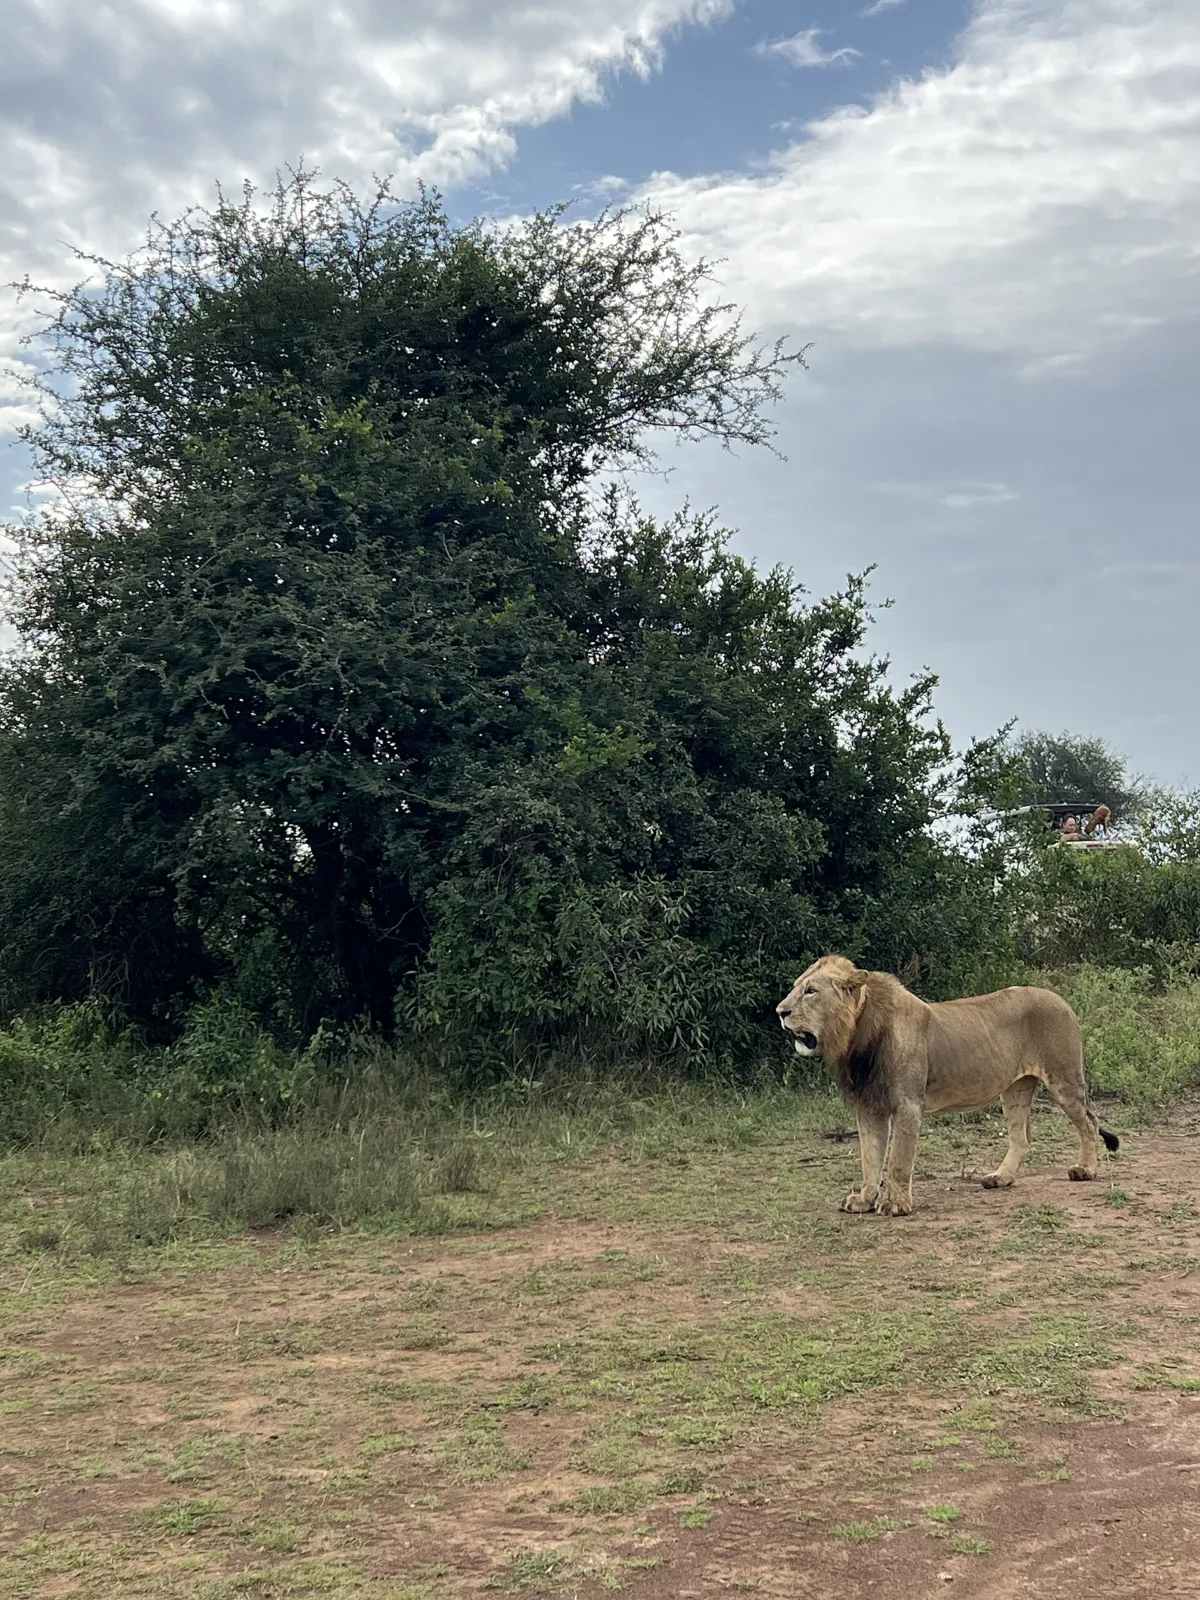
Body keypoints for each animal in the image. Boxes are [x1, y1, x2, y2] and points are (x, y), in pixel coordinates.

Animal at [776, 956, 1119, 1217]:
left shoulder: (907, 1106)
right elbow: (869, 1158)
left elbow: (898, 1160)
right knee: (1021, 1138)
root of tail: (1061, 999)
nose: (780, 1012)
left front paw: (895, 1205)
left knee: (1090, 1123)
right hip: (1016, 1089)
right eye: (795, 988)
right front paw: (864, 1200)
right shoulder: (869, 1106)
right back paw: (1000, 1178)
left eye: (811, 991)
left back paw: (1085, 1170)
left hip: (1064, 1080)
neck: (856, 1038)